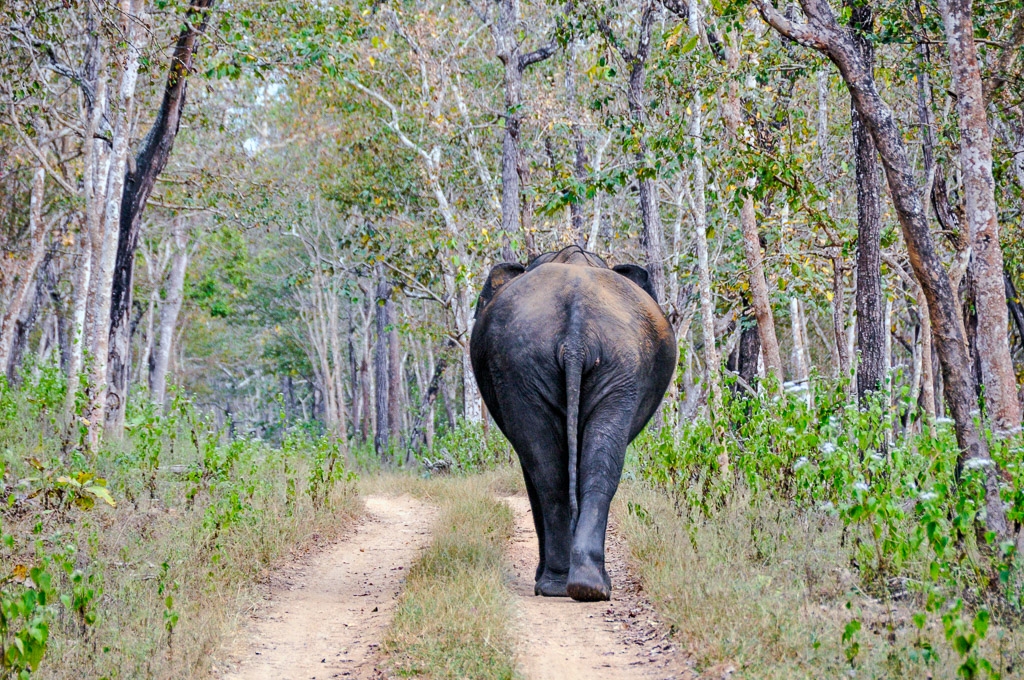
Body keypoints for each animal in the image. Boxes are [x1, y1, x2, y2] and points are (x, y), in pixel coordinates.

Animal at [468, 242, 675, 602]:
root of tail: (576, 337)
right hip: (549, 365)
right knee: (567, 470)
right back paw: (575, 585)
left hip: (569, 364)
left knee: (554, 471)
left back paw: (573, 586)